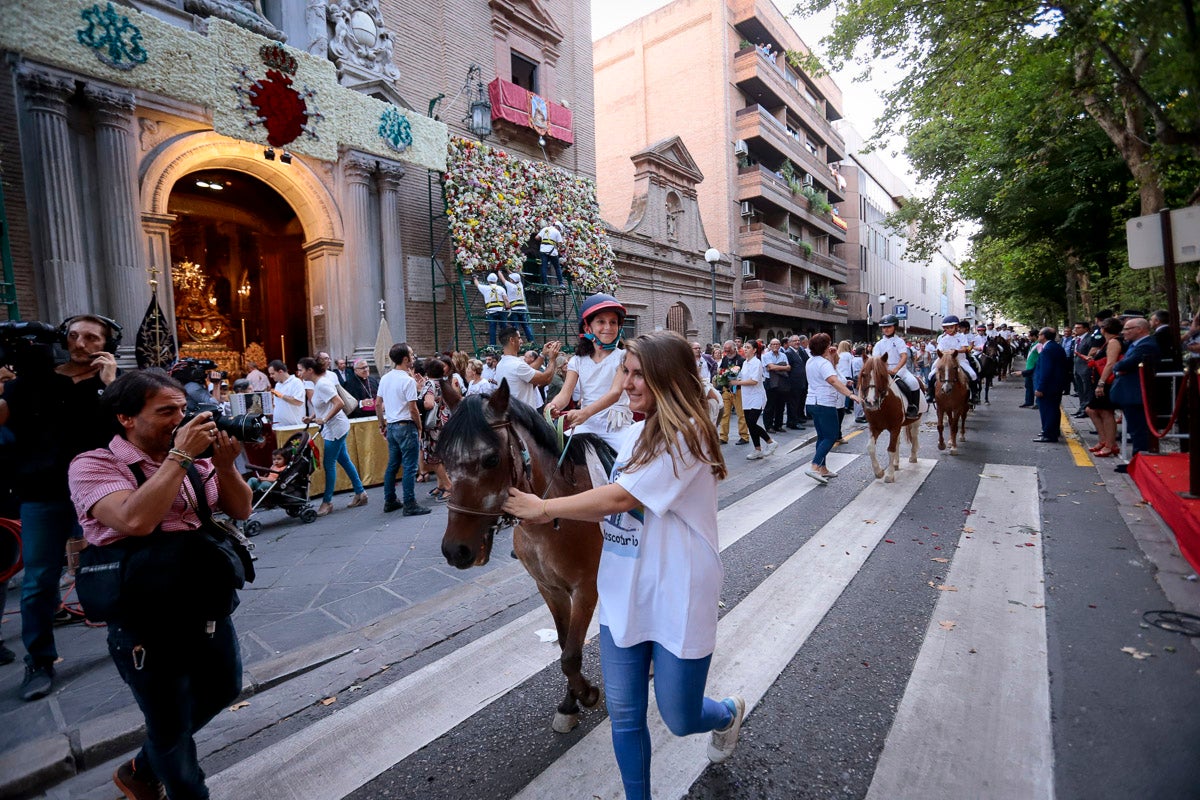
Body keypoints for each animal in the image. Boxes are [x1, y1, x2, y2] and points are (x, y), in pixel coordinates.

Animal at [436, 381, 614, 734]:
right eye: (444, 458)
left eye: (491, 459)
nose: (455, 550)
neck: (554, 511)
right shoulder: (550, 589)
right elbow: (564, 646)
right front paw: (570, 702)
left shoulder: (585, 589)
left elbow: (570, 655)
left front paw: (587, 694)